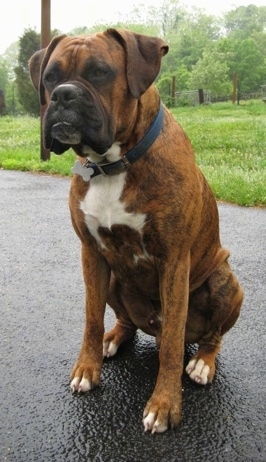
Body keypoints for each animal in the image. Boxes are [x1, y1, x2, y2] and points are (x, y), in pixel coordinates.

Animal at [29, 28, 243, 434]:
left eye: (99, 72)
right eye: (49, 77)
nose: (63, 94)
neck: (113, 163)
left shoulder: (174, 261)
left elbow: (173, 343)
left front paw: (164, 405)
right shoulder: (91, 254)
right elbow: (91, 317)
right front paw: (88, 368)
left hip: (225, 280)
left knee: (211, 338)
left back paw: (203, 363)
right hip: (116, 279)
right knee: (125, 321)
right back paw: (113, 339)